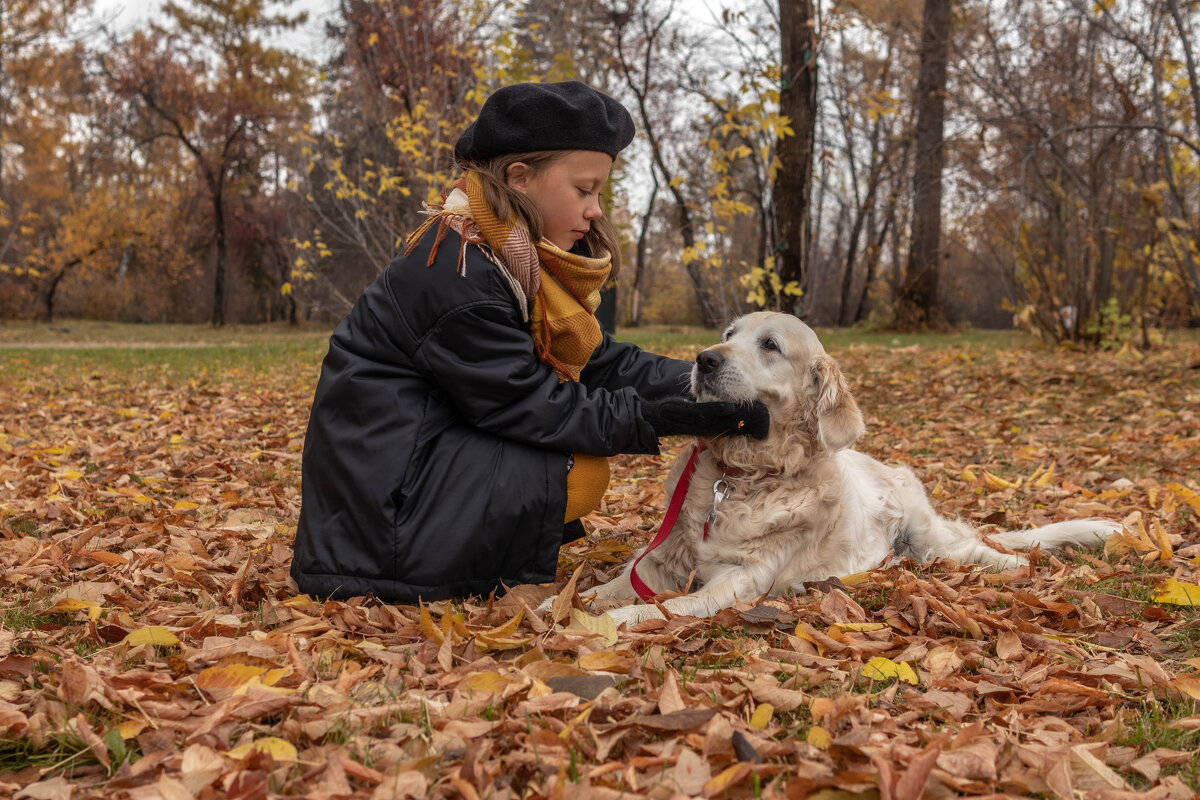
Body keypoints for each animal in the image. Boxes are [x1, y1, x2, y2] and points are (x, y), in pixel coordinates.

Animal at [566, 311, 1118, 623]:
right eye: (728, 333)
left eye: (770, 345)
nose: (704, 359)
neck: (741, 478)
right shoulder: (663, 558)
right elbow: (609, 586)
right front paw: (561, 605)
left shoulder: (739, 581)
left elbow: (664, 607)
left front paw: (610, 622)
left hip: (928, 536)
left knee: (977, 549)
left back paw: (1013, 565)